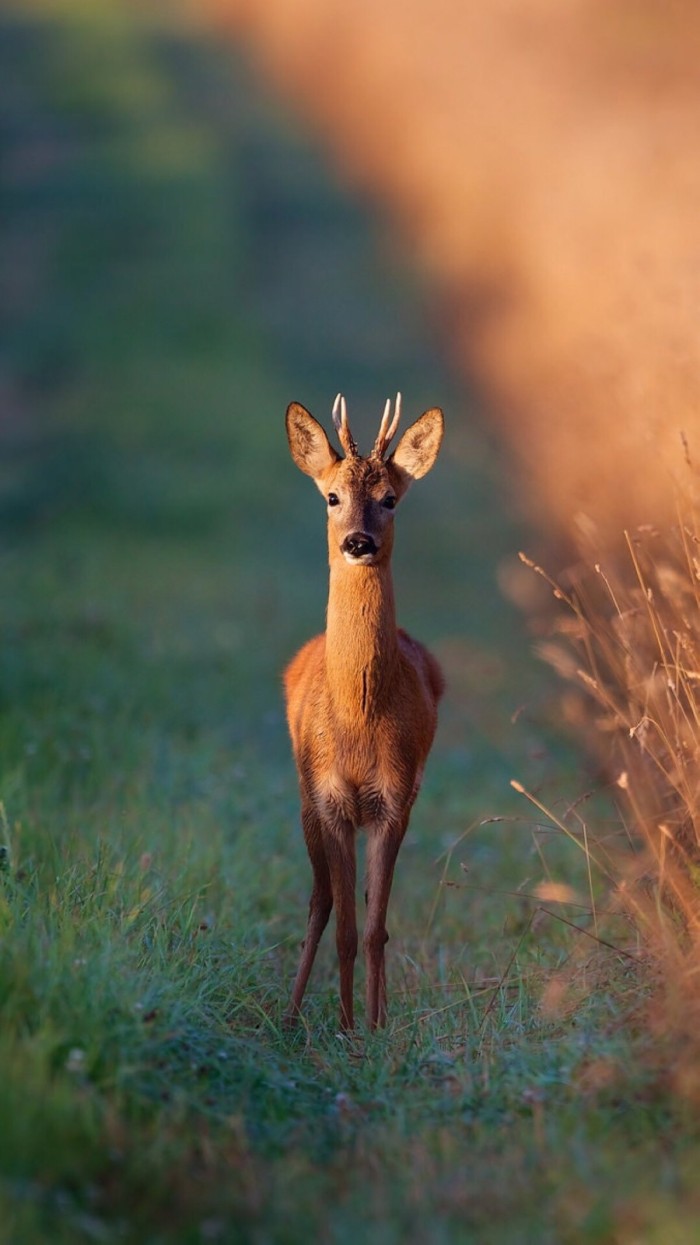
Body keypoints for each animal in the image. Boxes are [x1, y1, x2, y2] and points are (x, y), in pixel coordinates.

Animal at [281, 393, 440, 1025]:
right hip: (304, 798)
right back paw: (291, 1013)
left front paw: (373, 1027)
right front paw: (346, 1029)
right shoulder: (330, 799)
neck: (359, 716)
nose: (357, 542)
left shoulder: (394, 801)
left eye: (390, 498)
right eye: (332, 496)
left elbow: (374, 930)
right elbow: (346, 928)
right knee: (320, 900)